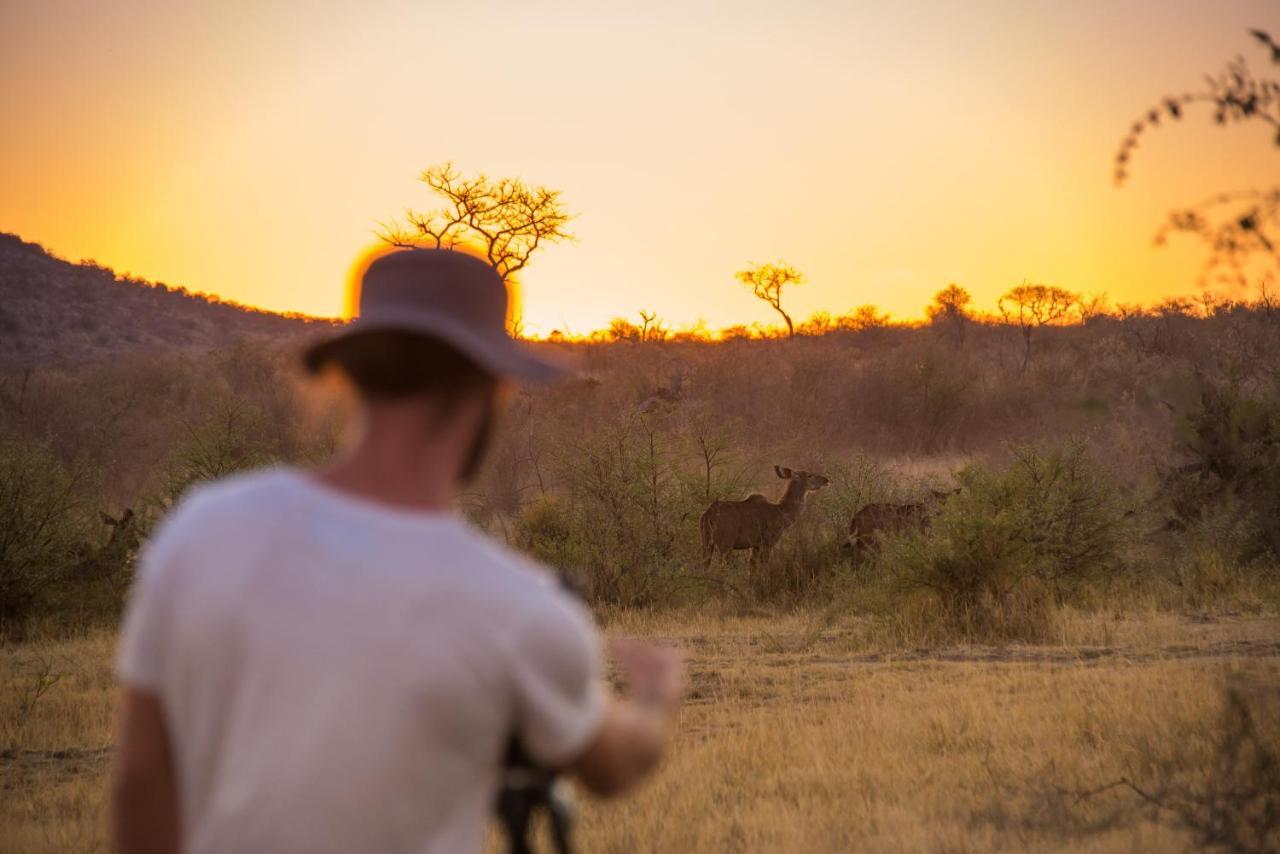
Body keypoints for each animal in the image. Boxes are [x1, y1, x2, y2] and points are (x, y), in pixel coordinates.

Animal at [701, 463, 829, 563]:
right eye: (809, 475)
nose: (826, 480)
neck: (780, 511)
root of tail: (708, 515)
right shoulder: (767, 544)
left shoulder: (755, 546)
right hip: (724, 546)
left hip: (707, 544)